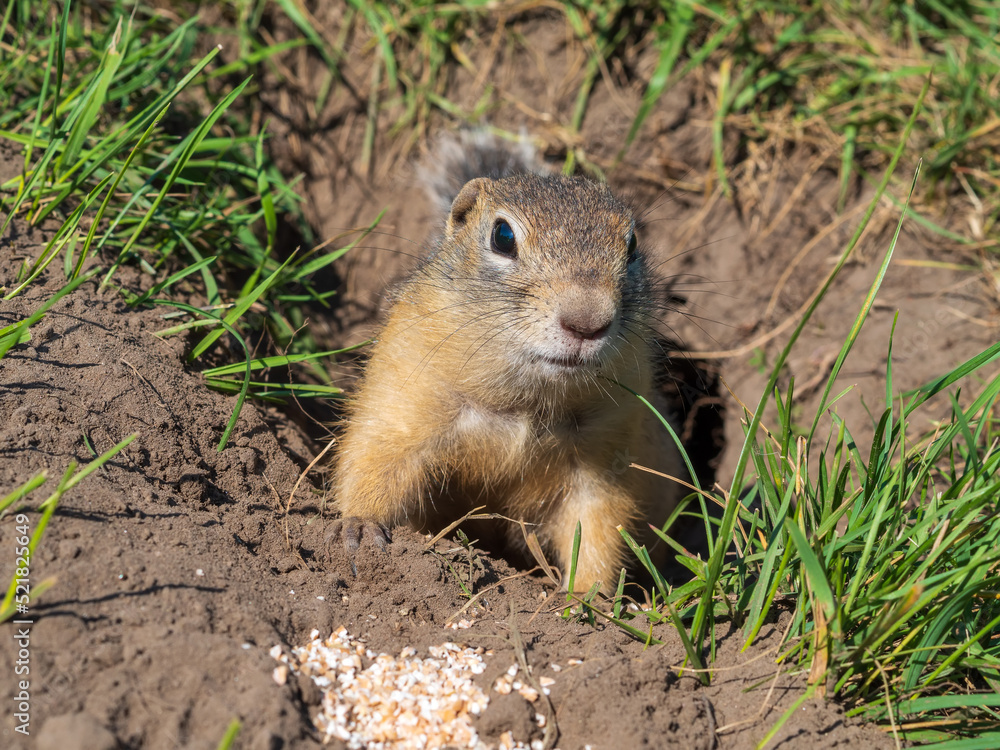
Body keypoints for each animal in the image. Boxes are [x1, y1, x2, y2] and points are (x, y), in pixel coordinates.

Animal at [332, 135, 684, 592]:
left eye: (632, 246)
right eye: (502, 235)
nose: (587, 321)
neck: (524, 402)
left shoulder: (605, 455)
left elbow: (596, 526)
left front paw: (586, 595)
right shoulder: (406, 393)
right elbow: (374, 458)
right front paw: (359, 526)